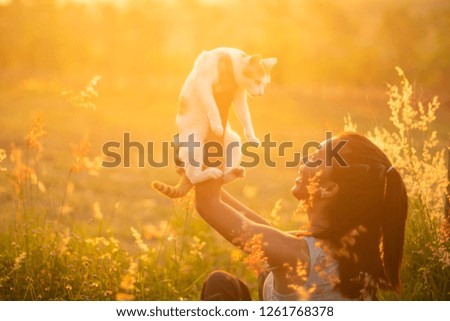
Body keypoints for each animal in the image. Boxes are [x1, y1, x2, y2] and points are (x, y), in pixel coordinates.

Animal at [153, 47, 276, 198]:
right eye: (258, 81)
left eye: (265, 84)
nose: (261, 93)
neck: (229, 59)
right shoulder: (203, 83)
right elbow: (212, 107)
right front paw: (217, 126)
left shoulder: (239, 97)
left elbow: (246, 117)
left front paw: (252, 137)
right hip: (195, 144)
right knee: (193, 175)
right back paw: (209, 173)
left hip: (233, 141)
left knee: (223, 175)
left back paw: (231, 174)